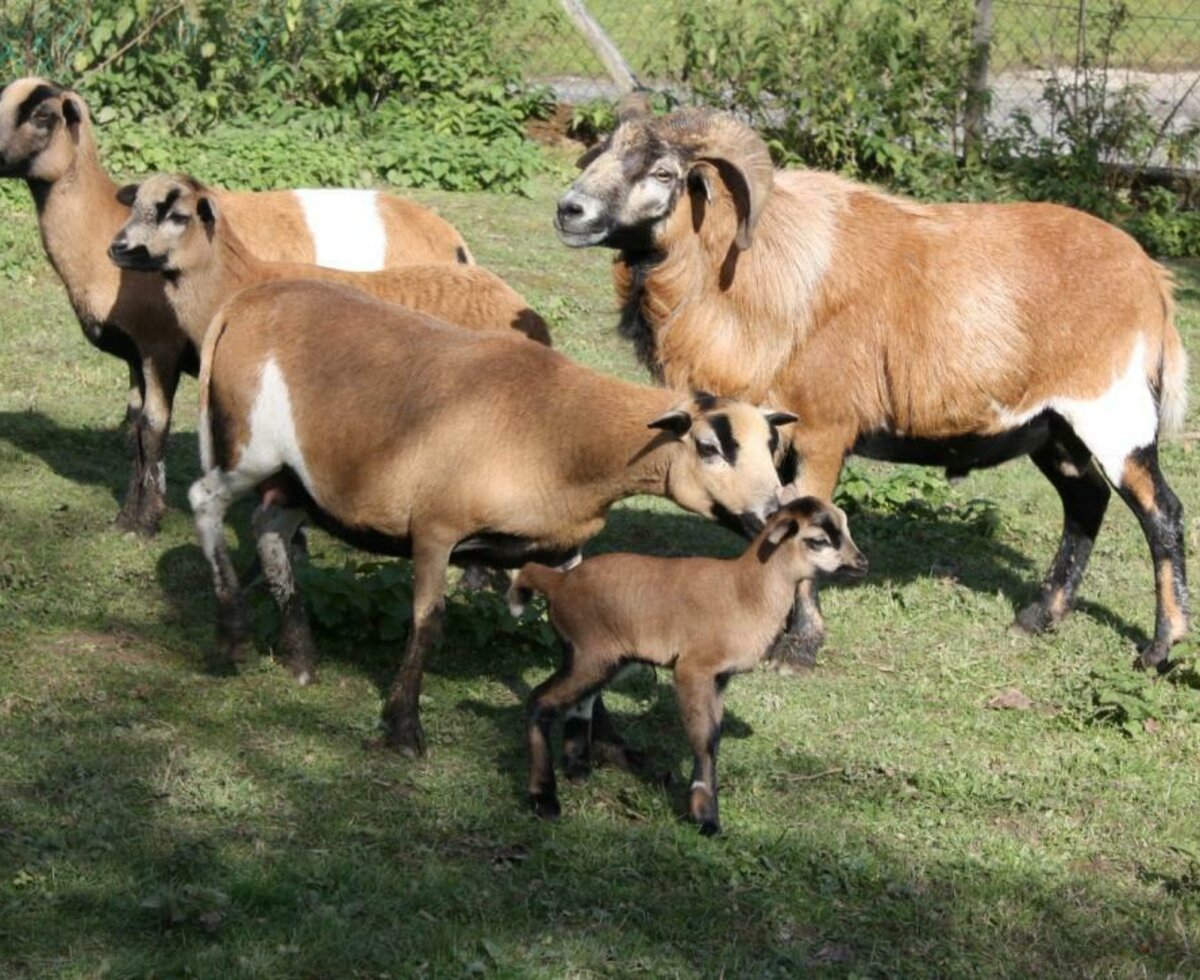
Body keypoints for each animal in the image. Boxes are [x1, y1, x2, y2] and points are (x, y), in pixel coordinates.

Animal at [1, 76, 477, 534]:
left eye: (43, 115)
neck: (98, 222)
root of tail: (456, 243)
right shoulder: (136, 354)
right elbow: (136, 430)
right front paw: (127, 518)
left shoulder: (160, 347)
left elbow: (153, 430)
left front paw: (146, 522)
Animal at [554, 104, 1190, 671]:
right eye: (600, 153)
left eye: (664, 172)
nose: (569, 210)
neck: (757, 275)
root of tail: (1151, 281)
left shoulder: (822, 432)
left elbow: (805, 521)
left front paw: (800, 650)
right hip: (1052, 428)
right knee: (1086, 501)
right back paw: (1038, 617)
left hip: (1113, 411)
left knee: (1162, 512)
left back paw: (1159, 651)